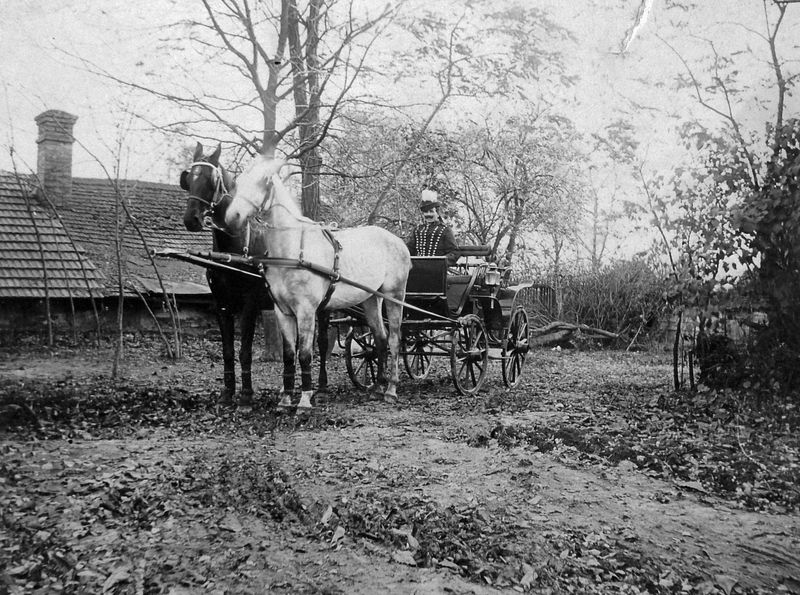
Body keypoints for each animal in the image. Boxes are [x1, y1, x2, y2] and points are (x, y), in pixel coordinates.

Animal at [180, 144, 332, 406]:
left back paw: (320, 387)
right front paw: (227, 394)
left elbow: (245, 351)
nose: (192, 220)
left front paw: (246, 397)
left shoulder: (249, 305)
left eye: (211, 180)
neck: (232, 252)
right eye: (189, 179)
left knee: (322, 343)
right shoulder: (222, 306)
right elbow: (228, 352)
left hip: (322, 307)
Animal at [225, 154, 412, 410]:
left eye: (264, 180)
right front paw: (285, 400)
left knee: (394, 339)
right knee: (380, 339)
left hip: (394, 296)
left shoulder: (306, 310)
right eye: (239, 180)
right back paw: (376, 387)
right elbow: (288, 355)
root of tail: (399, 242)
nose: (232, 217)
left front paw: (304, 400)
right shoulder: (282, 311)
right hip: (371, 299)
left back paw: (391, 389)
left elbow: (305, 354)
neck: (292, 252)